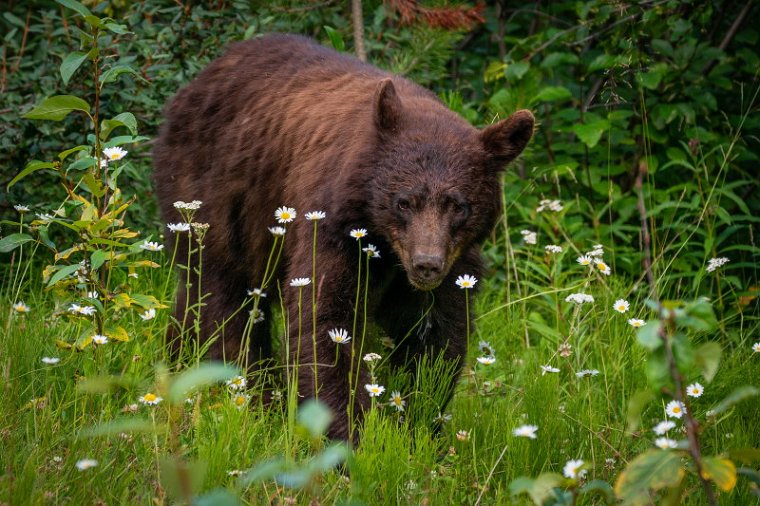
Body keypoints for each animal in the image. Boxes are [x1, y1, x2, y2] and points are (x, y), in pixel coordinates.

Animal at [153, 33, 536, 440]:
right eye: (404, 201)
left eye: (458, 205)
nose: (427, 265)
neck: (385, 246)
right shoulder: (333, 230)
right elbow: (324, 319)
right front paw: (354, 432)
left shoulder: (455, 261)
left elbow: (436, 334)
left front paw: (418, 419)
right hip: (214, 194)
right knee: (222, 295)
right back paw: (253, 391)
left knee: (194, 297)